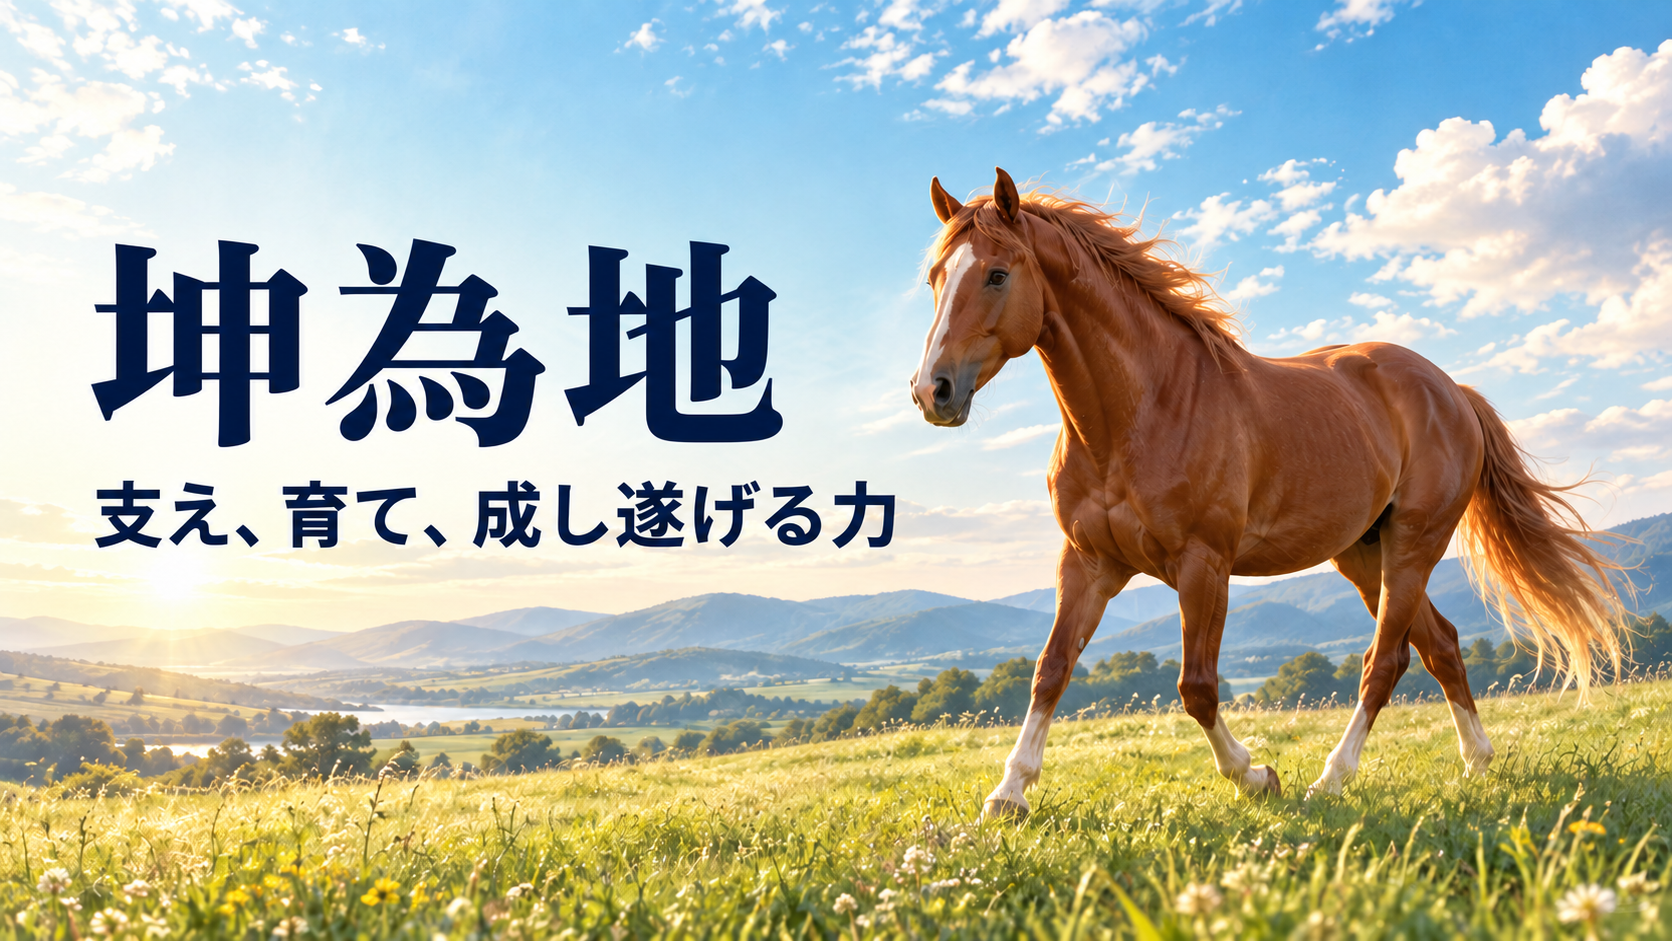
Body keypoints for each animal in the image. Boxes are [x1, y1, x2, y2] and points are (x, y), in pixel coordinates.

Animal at [910, 167, 1630, 817]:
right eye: (937, 278)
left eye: (997, 274)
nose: (932, 391)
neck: (1139, 411)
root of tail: (1452, 391)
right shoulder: (1088, 563)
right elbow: (1051, 670)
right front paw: (1008, 793)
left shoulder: (1205, 564)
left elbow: (1197, 687)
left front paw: (1256, 776)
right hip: (1364, 554)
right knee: (1441, 646)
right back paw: (1476, 761)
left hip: (1412, 546)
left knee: (1386, 660)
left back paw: (1331, 779)